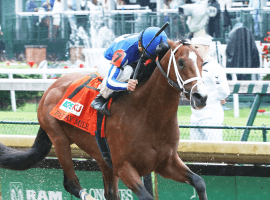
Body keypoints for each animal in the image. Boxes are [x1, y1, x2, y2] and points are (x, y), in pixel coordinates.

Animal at [0, 38, 208, 198]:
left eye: (202, 63)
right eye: (181, 62)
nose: (201, 97)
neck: (148, 115)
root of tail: (49, 89)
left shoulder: (165, 162)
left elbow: (199, 182)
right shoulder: (124, 167)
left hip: (103, 159)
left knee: (109, 193)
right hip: (58, 138)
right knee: (72, 184)